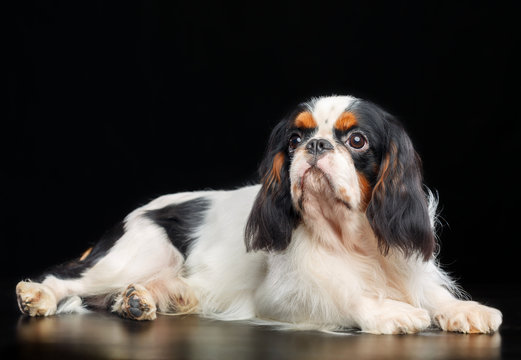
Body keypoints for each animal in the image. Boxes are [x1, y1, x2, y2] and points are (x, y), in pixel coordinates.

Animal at [15, 95, 500, 334]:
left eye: (357, 140)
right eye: (294, 139)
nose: (315, 145)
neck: (350, 237)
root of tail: (131, 216)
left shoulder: (407, 269)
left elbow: (434, 295)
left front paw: (466, 310)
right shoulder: (282, 297)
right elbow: (346, 294)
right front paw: (389, 314)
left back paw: (144, 300)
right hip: (139, 251)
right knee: (66, 277)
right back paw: (37, 296)